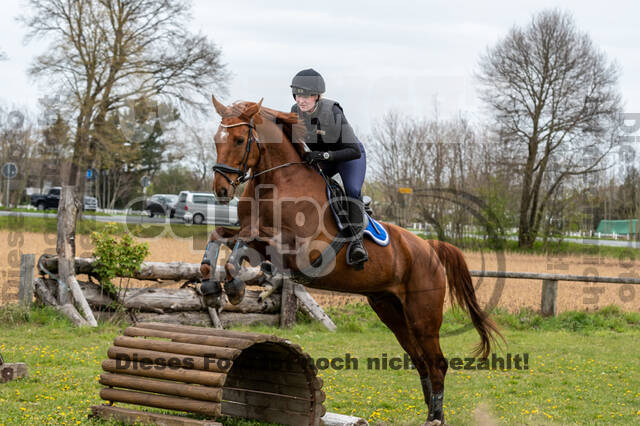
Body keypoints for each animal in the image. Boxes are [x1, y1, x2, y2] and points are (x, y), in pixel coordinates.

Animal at [199, 95, 500, 424]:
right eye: (216, 140)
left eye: (240, 140)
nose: (221, 190)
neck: (278, 181)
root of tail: (428, 246)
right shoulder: (254, 235)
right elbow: (219, 235)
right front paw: (210, 287)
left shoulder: (300, 251)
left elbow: (244, 242)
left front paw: (235, 287)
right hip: (390, 310)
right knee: (420, 360)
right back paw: (434, 412)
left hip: (423, 314)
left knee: (437, 362)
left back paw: (435, 415)